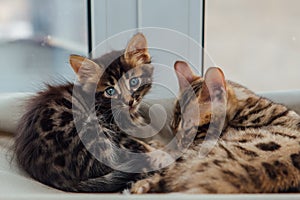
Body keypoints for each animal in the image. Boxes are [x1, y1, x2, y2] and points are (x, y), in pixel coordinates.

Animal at [14, 33, 164, 193]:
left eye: (134, 82)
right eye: (110, 91)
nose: (129, 101)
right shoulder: (119, 135)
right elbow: (140, 145)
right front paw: (159, 152)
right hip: (91, 131)